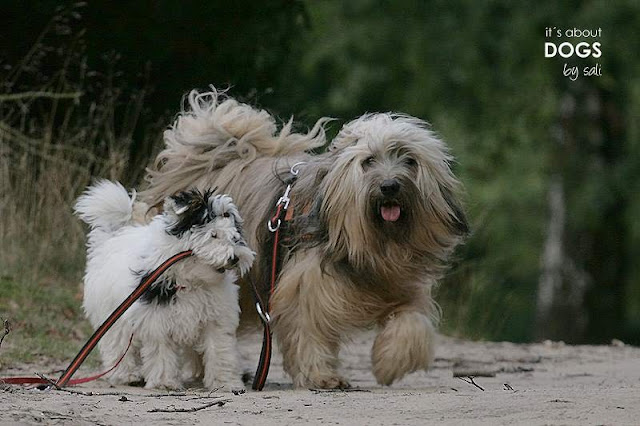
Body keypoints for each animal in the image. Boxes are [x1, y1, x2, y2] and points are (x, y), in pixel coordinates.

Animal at [75, 180, 255, 390]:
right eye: (213, 235)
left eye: (234, 237)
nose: (235, 258)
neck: (191, 280)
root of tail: (113, 238)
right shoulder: (156, 320)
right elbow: (161, 351)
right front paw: (165, 382)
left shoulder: (215, 318)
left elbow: (219, 350)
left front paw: (224, 382)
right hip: (113, 315)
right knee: (118, 345)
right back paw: (127, 375)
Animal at [142, 90, 468, 390]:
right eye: (369, 161)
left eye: (410, 161)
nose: (390, 186)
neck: (373, 244)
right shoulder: (307, 285)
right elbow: (309, 327)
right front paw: (322, 376)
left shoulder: (402, 283)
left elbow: (412, 323)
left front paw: (390, 364)